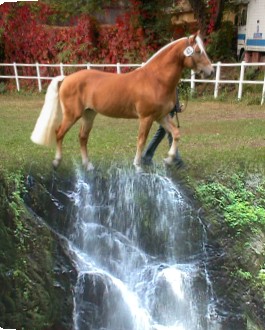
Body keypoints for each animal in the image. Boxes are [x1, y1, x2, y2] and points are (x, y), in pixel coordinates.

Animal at [31, 31, 212, 171]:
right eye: (197, 51)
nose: (210, 71)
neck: (156, 80)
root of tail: (66, 78)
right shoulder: (146, 118)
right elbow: (141, 140)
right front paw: (137, 166)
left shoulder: (161, 117)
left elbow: (175, 133)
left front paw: (169, 159)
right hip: (72, 115)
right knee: (59, 133)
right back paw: (56, 162)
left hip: (89, 115)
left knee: (82, 137)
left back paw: (88, 165)